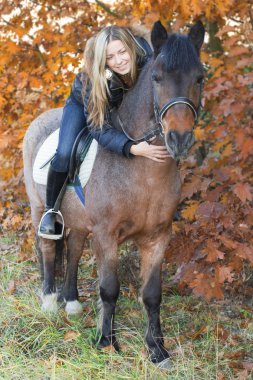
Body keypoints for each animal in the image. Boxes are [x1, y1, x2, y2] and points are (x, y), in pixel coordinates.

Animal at [22, 21, 206, 366]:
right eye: (157, 77)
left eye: (199, 77)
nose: (179, 139)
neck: (141, 173)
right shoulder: (107, 236)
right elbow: (109, 289)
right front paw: (106, 342)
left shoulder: (157, 238)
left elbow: (152, 294)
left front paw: (157, 349)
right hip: (40, 208)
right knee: (49, 248)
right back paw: (50, 301)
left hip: (80, 222)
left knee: (74, 249)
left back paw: (71, 302)